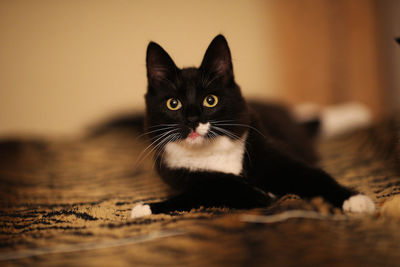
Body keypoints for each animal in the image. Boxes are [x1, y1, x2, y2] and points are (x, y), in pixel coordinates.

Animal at [130, 34, 376, 219]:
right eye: (173, 104)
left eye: (210, 100)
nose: (192, 120)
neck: (213, 153)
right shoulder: (184, 176)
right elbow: (210, 191)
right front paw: (146, 208)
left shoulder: (272, 154)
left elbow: (313, 176)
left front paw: (357, 200)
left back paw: (354, 112)